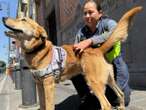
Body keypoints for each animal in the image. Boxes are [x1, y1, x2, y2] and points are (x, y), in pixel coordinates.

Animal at [2, 6, 143, 109]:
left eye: (23, 20)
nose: (3, 17)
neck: (38, 49)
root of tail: (97, 50)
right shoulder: (39, 84)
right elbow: (42, 105)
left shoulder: (48, 85)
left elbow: (48, 106)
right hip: (109, 80)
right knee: (121, 93)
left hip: (94, 82)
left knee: (106, 105)